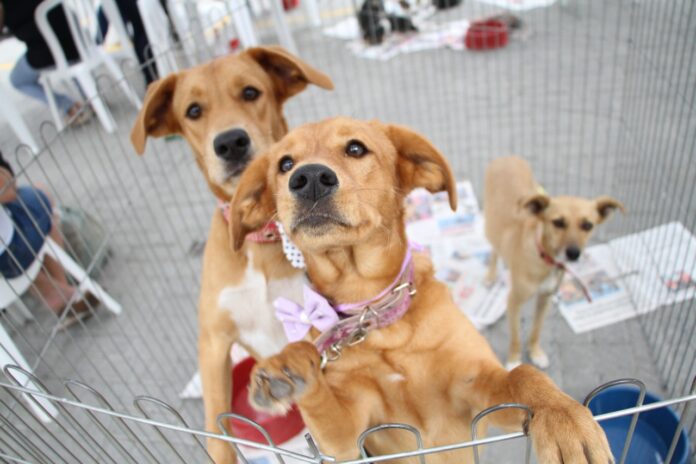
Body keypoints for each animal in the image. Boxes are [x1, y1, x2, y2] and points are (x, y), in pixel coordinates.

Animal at [133, 47, 334, 464]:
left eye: (250, 92)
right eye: (193, 110)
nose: (230, 142)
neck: (259, 242)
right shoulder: (213, 342)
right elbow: (216, 428)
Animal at [484, 156, 624, 370]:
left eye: (588, 225)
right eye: (558, 222)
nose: (574, 254)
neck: (545, 259)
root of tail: (506, 157)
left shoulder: (545, 298)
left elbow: (536, 329)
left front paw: (535, 352)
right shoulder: (513, 301)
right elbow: (515, 337)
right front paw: (514, 360)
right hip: (490, 222)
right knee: (494, 249)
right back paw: (491, 275)